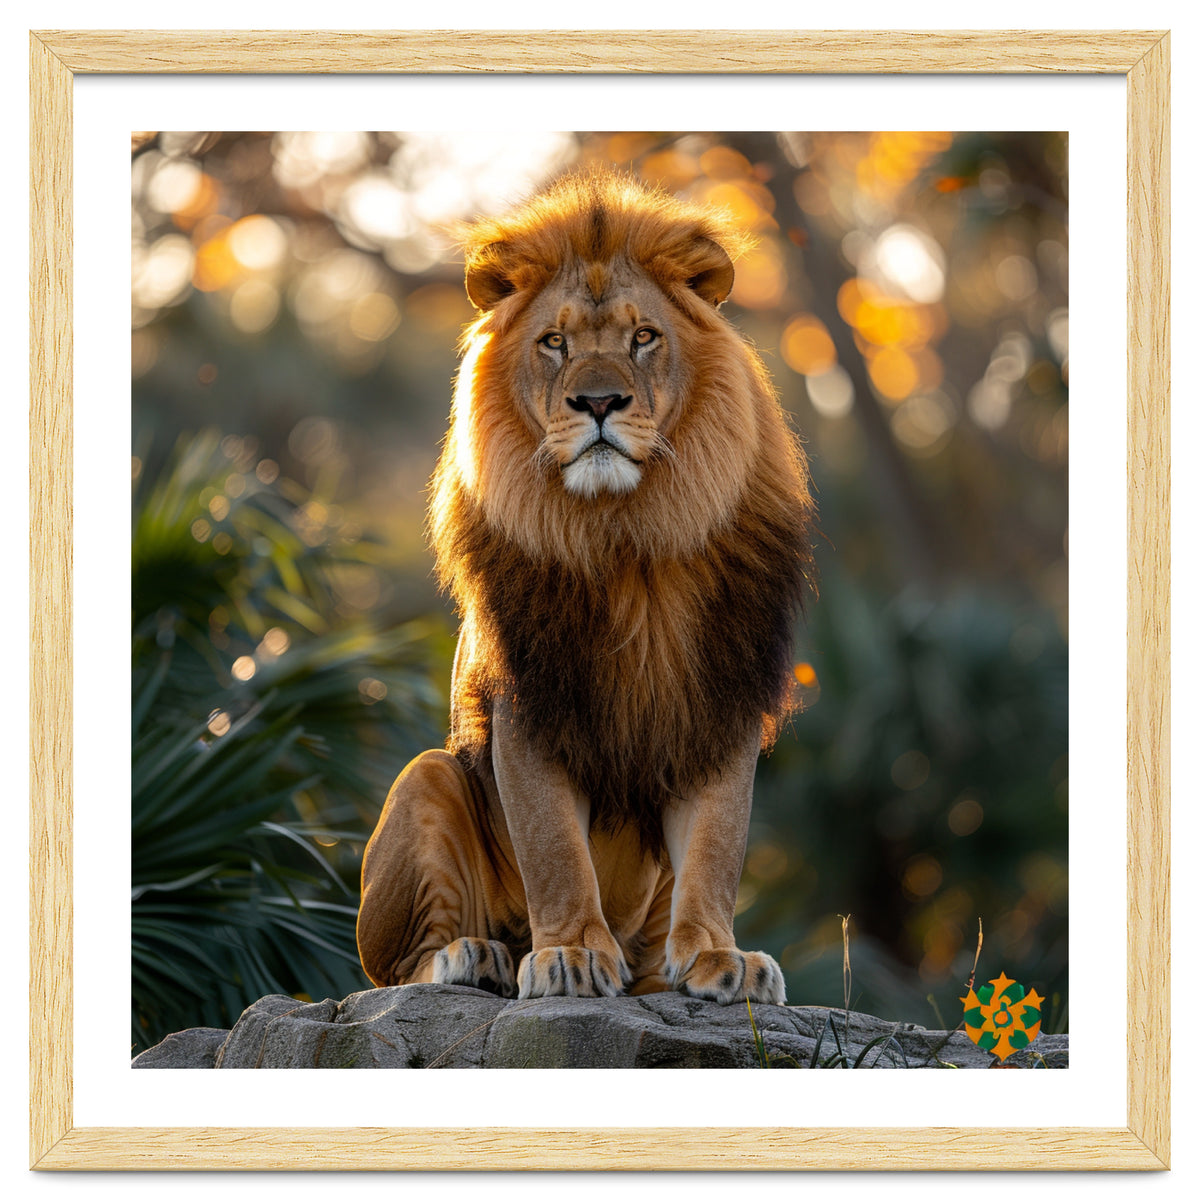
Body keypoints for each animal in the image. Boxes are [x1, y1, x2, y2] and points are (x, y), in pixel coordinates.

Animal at [357, 171, 815, 1005]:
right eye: (555, 343)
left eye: (643, 338)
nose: (598, 403)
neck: (627, 537)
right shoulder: (529, 704)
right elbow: (555, 849)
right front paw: (568, 953)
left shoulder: (719, 702)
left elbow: (716, 846)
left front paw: (719, 958)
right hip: (427, 778)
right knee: (395, 971)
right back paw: (477, 956)